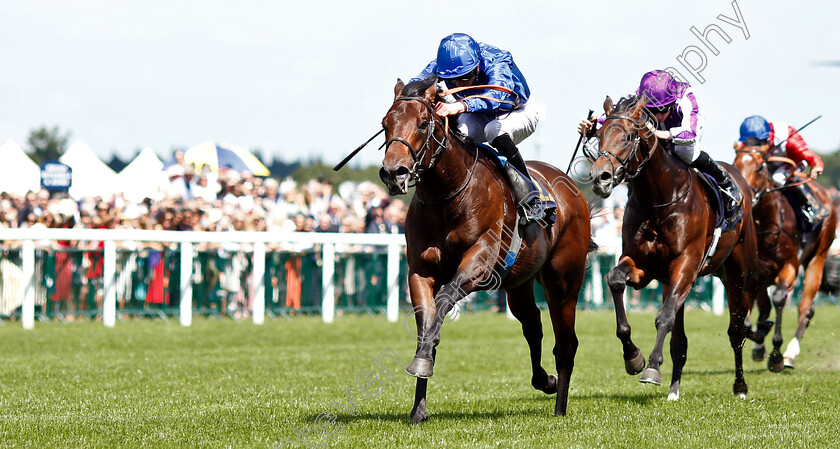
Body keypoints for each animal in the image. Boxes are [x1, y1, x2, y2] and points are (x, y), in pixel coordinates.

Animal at [378, 75, 592, 422]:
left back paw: (560, 407)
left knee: (566, 343)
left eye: (423, 123)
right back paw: (544, 380)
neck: (449, 197)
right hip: (519, 284)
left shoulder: (479, 263)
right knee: (532, 325)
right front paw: (419, 404)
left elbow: (444, 300)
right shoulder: (420, 271)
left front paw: (422, 364)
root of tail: (570, 186)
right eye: (385, 124)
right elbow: (427, 322)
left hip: (564, 282)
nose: (393, 172)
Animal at [592, 94, 760, 400]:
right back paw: (674, 389)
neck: (659, 200)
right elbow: (615, 280)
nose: (601, 177)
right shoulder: (644, 266)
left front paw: (651, 368)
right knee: (680, 341)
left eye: (629, 136)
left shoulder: (686, 263)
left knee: (737, 330)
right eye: (598, 135)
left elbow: (665, 317)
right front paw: (633, 357)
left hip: (739, 275)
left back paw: (740, 386)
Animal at [732, 145, 836, 370]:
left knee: (805, 308)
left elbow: (779, 299)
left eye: (760, 168)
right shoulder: (756, 273)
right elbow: (754, 311)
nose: (744, 194)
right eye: (735, 164)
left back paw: (790, 354)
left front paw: (776, 355)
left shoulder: (789, 265)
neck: (766, 224)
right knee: (767, 307)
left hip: (818, 256)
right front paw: (759, 339)